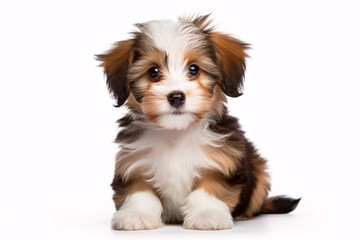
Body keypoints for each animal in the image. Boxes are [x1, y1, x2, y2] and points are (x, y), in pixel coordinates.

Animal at [96, 14, 300, 231]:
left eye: (194, 69)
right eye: (153, 72)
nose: (176, 97)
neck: (176, 132)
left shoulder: (222, 160)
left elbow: (209, 188)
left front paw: (207, 214)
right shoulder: (133, 162)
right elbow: (139, 191)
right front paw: (137, 215)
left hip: (259, 171)